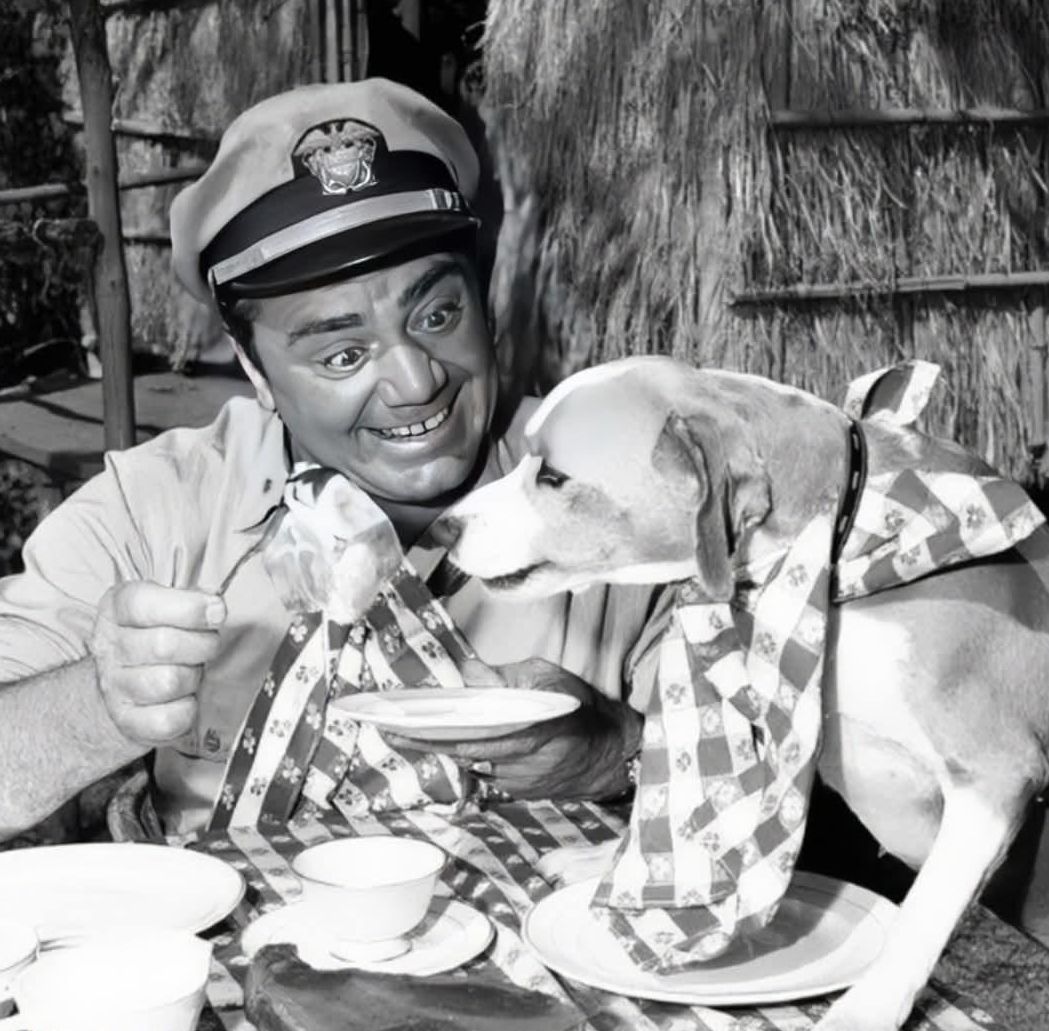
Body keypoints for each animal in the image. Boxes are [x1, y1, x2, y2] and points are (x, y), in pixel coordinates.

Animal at [435, 355, 1049, 1031]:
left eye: (551, 475)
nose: (444, 525)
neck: (832, 554)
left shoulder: (994, 777)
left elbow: (922, 917)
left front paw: (867, 1007)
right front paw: (610, 865)